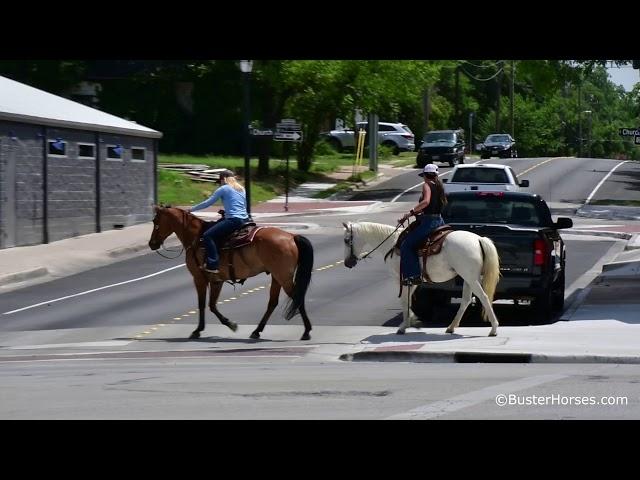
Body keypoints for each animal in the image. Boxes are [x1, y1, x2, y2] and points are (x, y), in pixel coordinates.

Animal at [148, 206, 312, 342]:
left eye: (155, 221)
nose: (151, 244)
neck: (196, 238)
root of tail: (291, 236)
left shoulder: (199, 278)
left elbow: (202, 304)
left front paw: (199, 330)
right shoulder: (216, 281)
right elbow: (212, 305)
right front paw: (229, 324)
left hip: (283, 277)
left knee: (296, 298)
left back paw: (306, 331)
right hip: (277, 276)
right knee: (273, 303)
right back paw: (257, 331)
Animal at [342, 222, 502, 338]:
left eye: (346, 240)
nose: (347, 263)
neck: (392, 244)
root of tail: (478, 239)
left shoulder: (400, 279)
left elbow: (404, 301)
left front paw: (404, 325)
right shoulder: (412, 280)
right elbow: (408, 300)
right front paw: (411, 321)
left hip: (470, 277)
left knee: (483, 297)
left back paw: (494, 328)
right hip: (468, 277)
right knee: (466, 300)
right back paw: (451, 327)